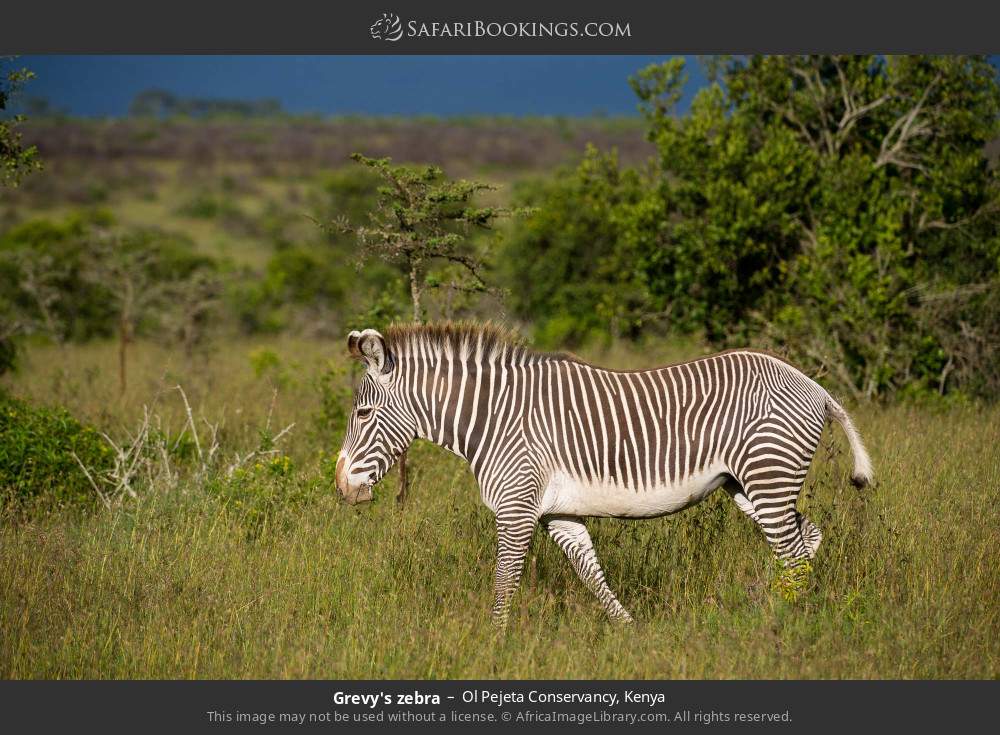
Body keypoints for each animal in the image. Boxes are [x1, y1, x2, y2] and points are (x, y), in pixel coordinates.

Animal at [335, 323, 873, 626]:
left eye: (362, 413)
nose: (342, 488)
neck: (494, 418)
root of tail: (813, 385)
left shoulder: (516, 506)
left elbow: (505, 579)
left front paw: (495, 641)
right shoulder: (556, 512)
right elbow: (590, 572)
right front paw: (629, 630)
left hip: (767, 475)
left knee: (795, 552)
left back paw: (782, 622)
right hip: (750, 485)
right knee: (806, 541)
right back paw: (779, 609)